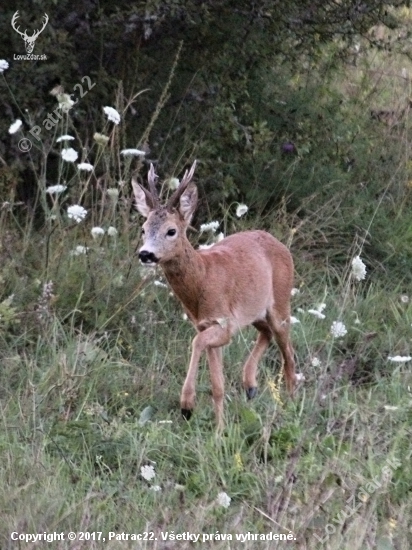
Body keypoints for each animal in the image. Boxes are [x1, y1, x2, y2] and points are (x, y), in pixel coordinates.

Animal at [133, 162, 296, 430]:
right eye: (144, 228)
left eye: (171, 231)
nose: (145, 254)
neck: (203, 278)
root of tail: (281, 244)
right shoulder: (207, 325)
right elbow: (217, 385)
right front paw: (220, 430)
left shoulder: (223, 323)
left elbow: (196, 343)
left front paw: (187, 404)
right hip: (256, 312)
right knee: (267, 333)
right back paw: (250, 385)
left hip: (281, 304)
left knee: (288, 355)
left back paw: (291, 408)